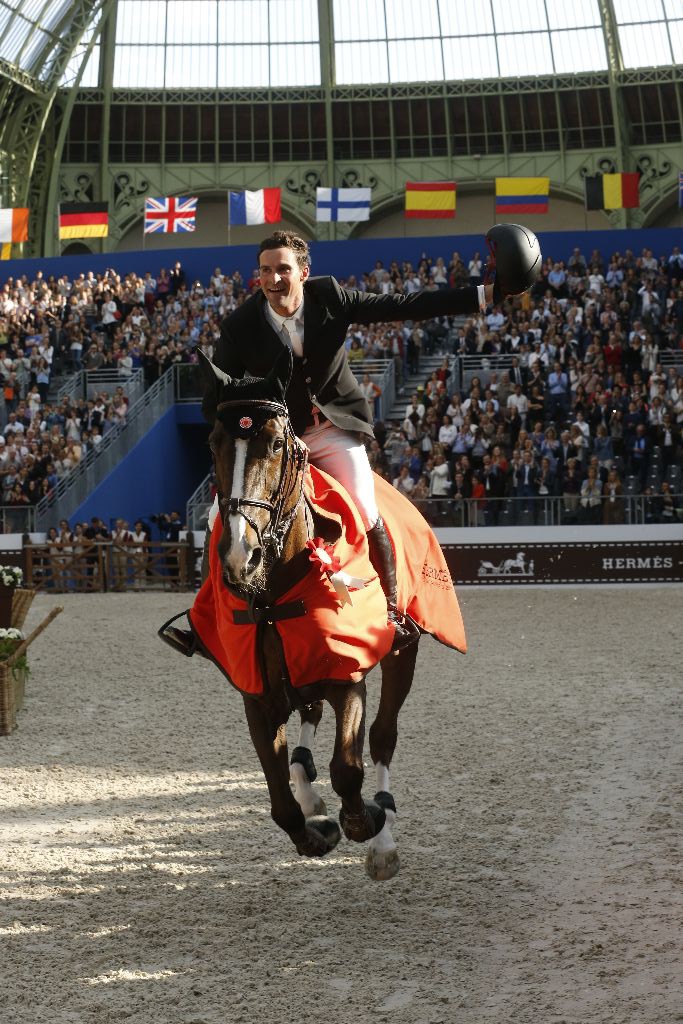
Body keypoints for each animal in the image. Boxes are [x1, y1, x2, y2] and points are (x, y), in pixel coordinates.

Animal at [163, 350, 464, 880]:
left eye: (276, 443)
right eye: (212, 442)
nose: (241, 558)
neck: (274, 591)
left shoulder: (348, 676)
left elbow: (350, 768)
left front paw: (366, 822)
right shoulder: (258, 694)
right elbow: (280, 797)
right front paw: (316, 831)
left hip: (401, 653)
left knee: (382, 737)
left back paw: (382, 837)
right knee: (307, 726)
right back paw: (311, 791)